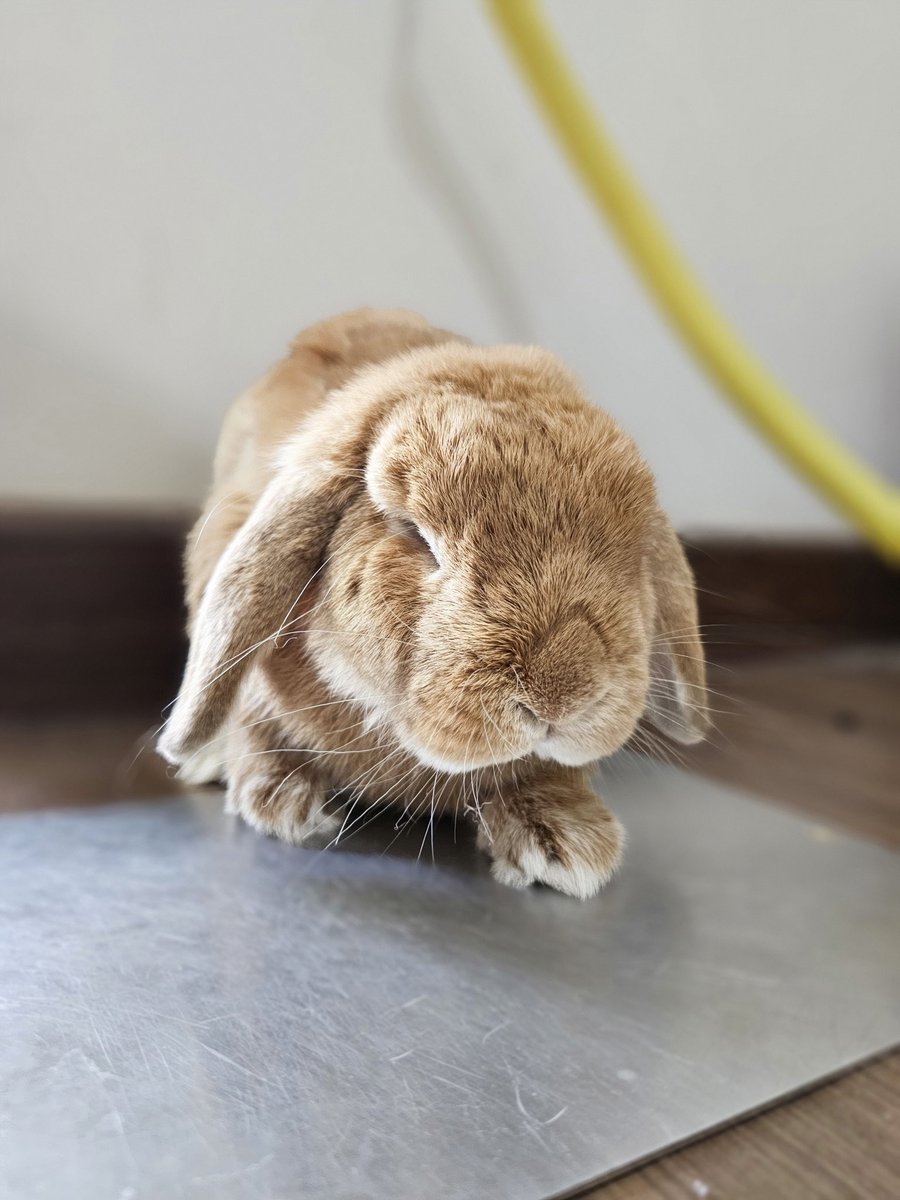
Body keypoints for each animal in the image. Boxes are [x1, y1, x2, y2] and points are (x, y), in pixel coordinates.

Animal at [158, 307, 708, 898]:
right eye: (415, 535)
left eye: (632, 546)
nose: (561, 699)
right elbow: (256, 724)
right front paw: (280, 803)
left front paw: (566, 843)